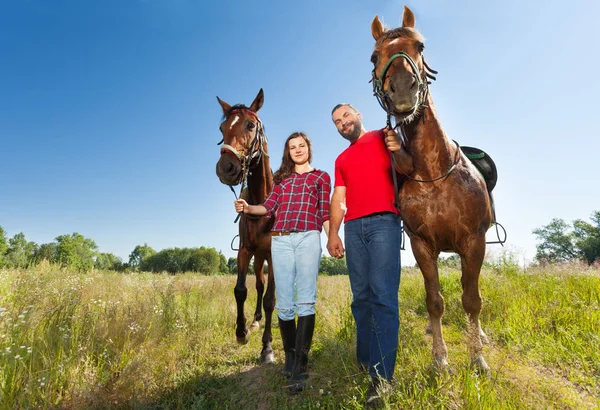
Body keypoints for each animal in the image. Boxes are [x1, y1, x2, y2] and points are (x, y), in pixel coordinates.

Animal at [370, 6, 492, 372]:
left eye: (420, 46)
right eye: (374, 56)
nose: (402, 90)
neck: (435, 174)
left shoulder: (474, 242)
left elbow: (472, 299)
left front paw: (477, 357)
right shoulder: (422, 245)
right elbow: (434, 300)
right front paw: (440, 358)